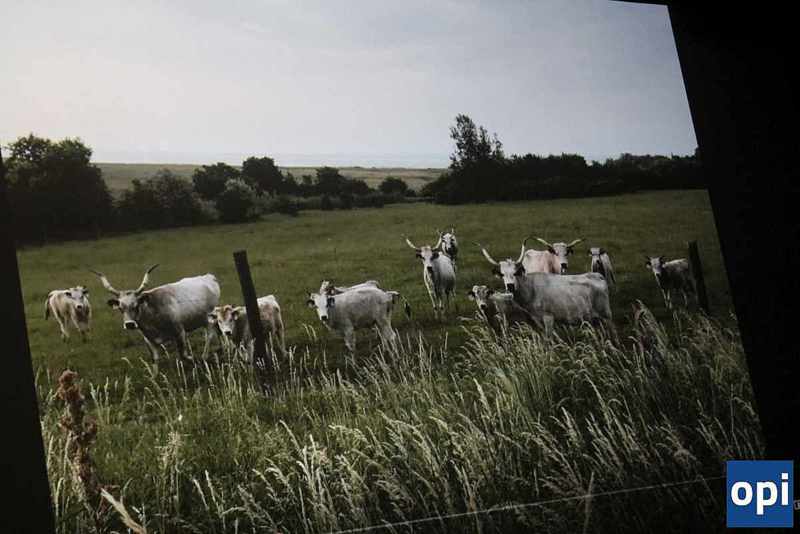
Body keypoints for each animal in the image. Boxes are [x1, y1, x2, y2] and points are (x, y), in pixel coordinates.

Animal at [90, 265, 220, 364]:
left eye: (136, 305)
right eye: (121, 308)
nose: (129, 324)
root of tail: (209, 277)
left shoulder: (179, 332)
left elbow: (183, 355)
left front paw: (192, 359)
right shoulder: (149, 340)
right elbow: (155, 361)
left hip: (209, 319)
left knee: (209, 336)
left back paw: (204, 356)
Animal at [479, 244, 613, 335]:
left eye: (516, 272)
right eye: (502, 274)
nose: (510, 286)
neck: (531, 289)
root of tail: (598, 276)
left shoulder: (548, 318)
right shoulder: (537, 321)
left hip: (607, 317)